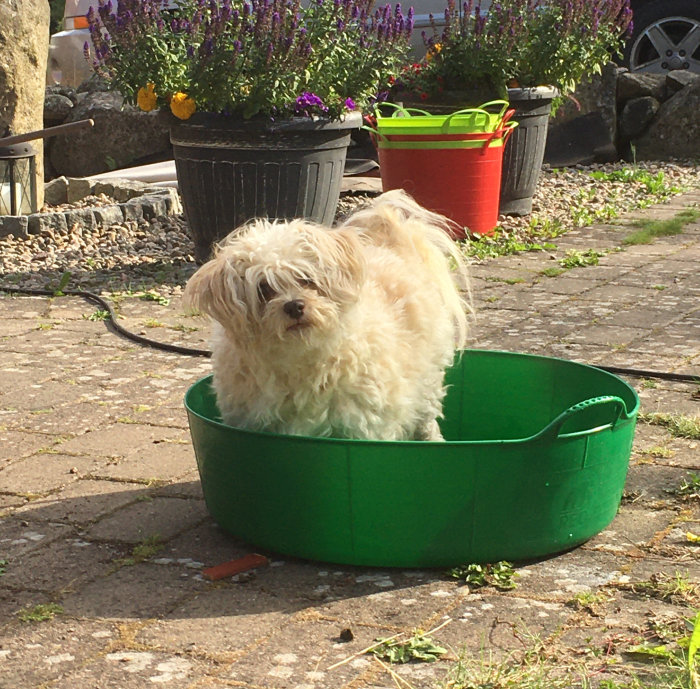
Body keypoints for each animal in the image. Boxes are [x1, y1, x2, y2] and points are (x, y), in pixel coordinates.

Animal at [185, 188, 470, 438]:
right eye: (264, 288)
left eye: (306, 278)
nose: (294, 305)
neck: (300, 361)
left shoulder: (364, 427)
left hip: (427, 383)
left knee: (427, 422)